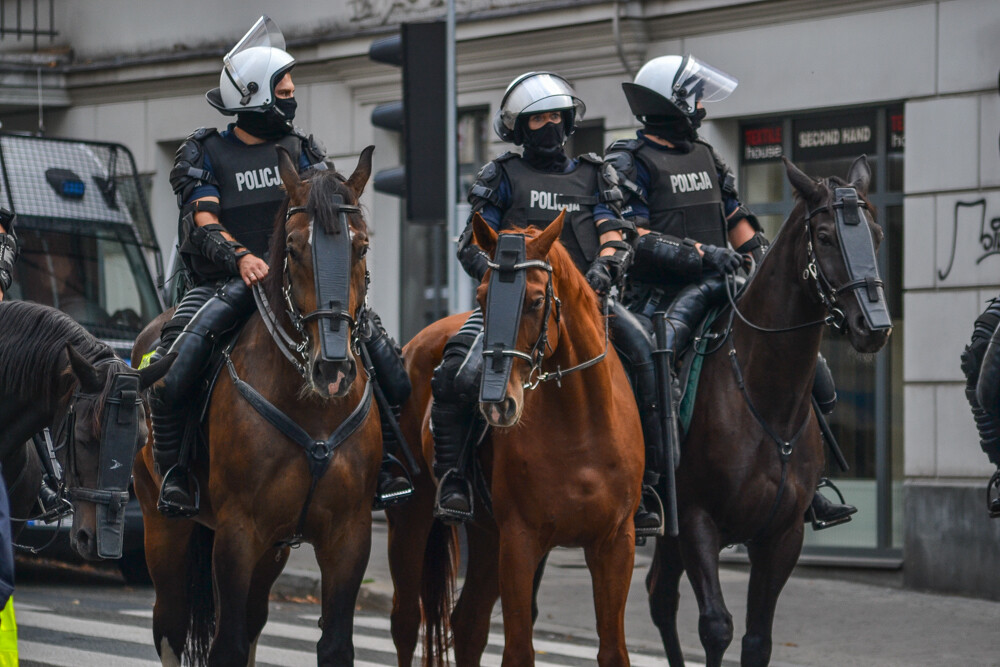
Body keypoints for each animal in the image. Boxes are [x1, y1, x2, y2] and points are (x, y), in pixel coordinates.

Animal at [133, 147, 382, 667]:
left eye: (362, 247)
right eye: (293, 248)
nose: (333, 369)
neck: (316, 412)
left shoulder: (349, 535)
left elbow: (335, 644)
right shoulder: (237, 533)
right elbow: (225, 644)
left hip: (275, 549)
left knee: (252, 622)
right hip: (162, 526)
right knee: (170, 624)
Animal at [386, 215, 644, 667]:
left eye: (537, 301)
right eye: (482, 296)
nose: (496, 404)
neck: (579, 426)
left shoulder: (616, 544)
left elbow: (613, 650)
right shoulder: (521, 541)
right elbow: (519, 649)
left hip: (487, 536)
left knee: (467, 623)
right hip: (413, 517)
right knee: (405, 621)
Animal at [648, 157, 892, 667]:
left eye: (877, 234)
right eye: (825, 236)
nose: (874, 327)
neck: (766, 399)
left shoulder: (781, 536)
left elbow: (757, 640)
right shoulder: (697, 522)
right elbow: (716, 627)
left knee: (659, 597)